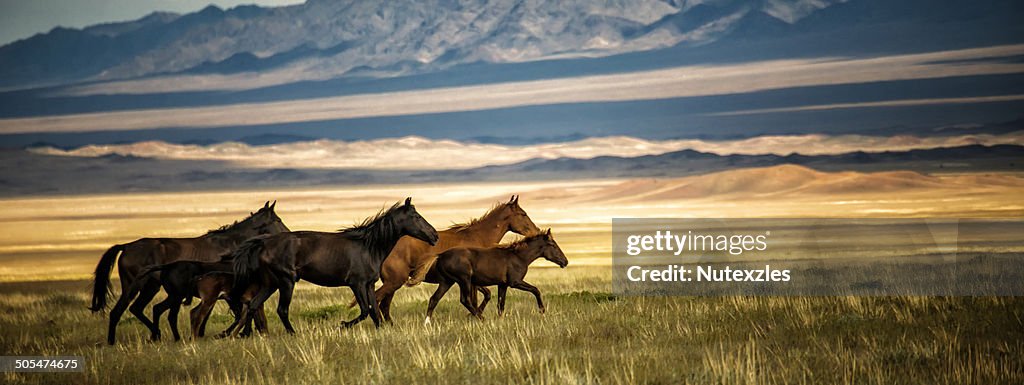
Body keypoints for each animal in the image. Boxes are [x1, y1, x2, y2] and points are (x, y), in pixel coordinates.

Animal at [91, 201, 288, 346]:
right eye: (277, 220)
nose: (288, 233)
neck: (229, 245)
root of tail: (126, 246)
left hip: (151, 287)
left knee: (138, 308)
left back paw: (156, 335)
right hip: (135, 286)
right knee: (118, 311)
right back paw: (113, 341)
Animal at [230, 198, 438, 333]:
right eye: (417, 217)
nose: (435, 235)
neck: (369, 246)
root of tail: (264, 242)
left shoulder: (369, 284)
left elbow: (374, 311)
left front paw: (381, 331)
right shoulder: (356, 284)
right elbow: (364, 310)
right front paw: (342, 324)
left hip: (270, 283)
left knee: (253, 305)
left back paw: (247, 335)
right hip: (286, 282)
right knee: (281, 310)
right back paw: (292, 334)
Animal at [370, 195, 544, 321]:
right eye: (523, 214)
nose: (537, 231)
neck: (478, 237)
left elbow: (485, 295)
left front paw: (474, 315)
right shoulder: (471, 280)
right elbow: (478, 297)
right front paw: (475, 316)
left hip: (393, 283)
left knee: (384, 305)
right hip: (394, 281)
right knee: (379, 302)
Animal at [423, 228, 569, 325]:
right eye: (552, 245)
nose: (565, 261)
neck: (519, 257)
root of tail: (441, 255)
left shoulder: (503, 285)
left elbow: (501, 304)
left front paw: (501, 321)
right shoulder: (515, 282)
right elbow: (536, 290)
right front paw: (542, 311)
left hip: (448, 282)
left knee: (434, 299)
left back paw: (427, 324)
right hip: (464, 280)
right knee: (465, 300)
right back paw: (482, 319)